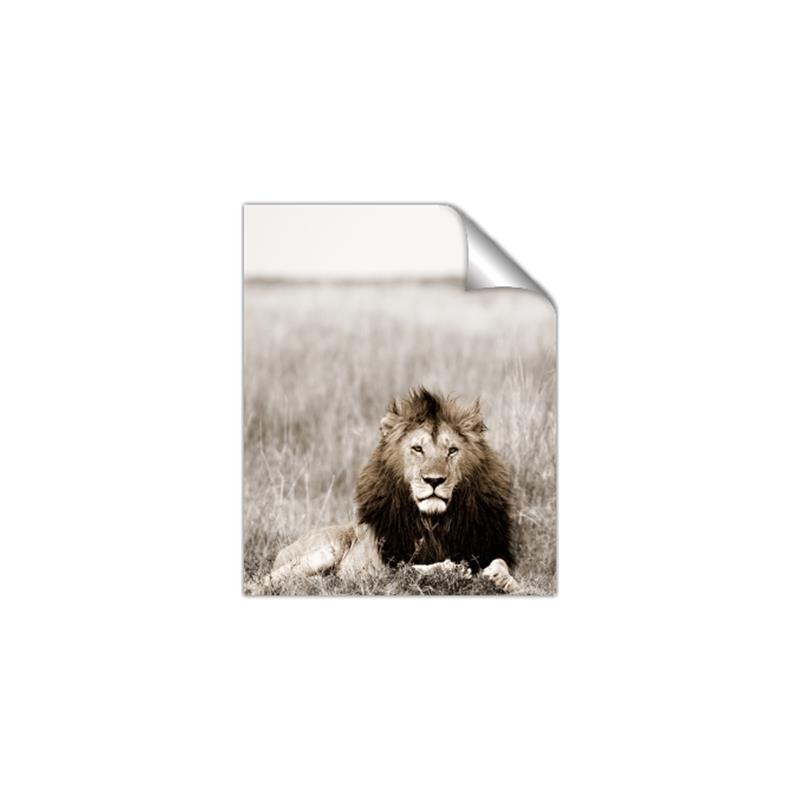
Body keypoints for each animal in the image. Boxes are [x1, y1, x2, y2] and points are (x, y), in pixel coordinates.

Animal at [269, 387, 520, 593]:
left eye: (452, 451)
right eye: (418, 449)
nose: (434, 480)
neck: (434, 523)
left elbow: (501, 563)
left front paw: (502, 579)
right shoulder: (385, 568)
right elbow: (411, 569)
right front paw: (451, 569)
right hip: (325, 550)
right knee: (270, 579)